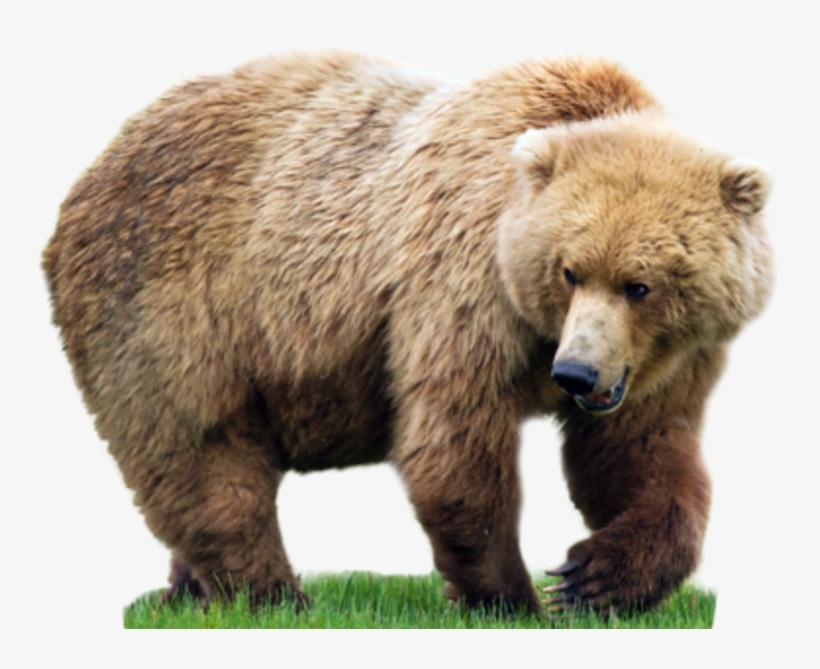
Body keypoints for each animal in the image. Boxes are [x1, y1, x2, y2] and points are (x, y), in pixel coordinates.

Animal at [42, 51, 772, 615]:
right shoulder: (460, 284)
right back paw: (274, 594)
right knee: (203, 450)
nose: (575, 375)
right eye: (569, 271)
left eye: (640, 284)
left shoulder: (663, 358)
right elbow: (454, 439)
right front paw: (513, 597)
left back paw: (188, 589)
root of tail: (96, 166)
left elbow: (639, 451)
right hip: (172, 301)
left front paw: (593, 578)